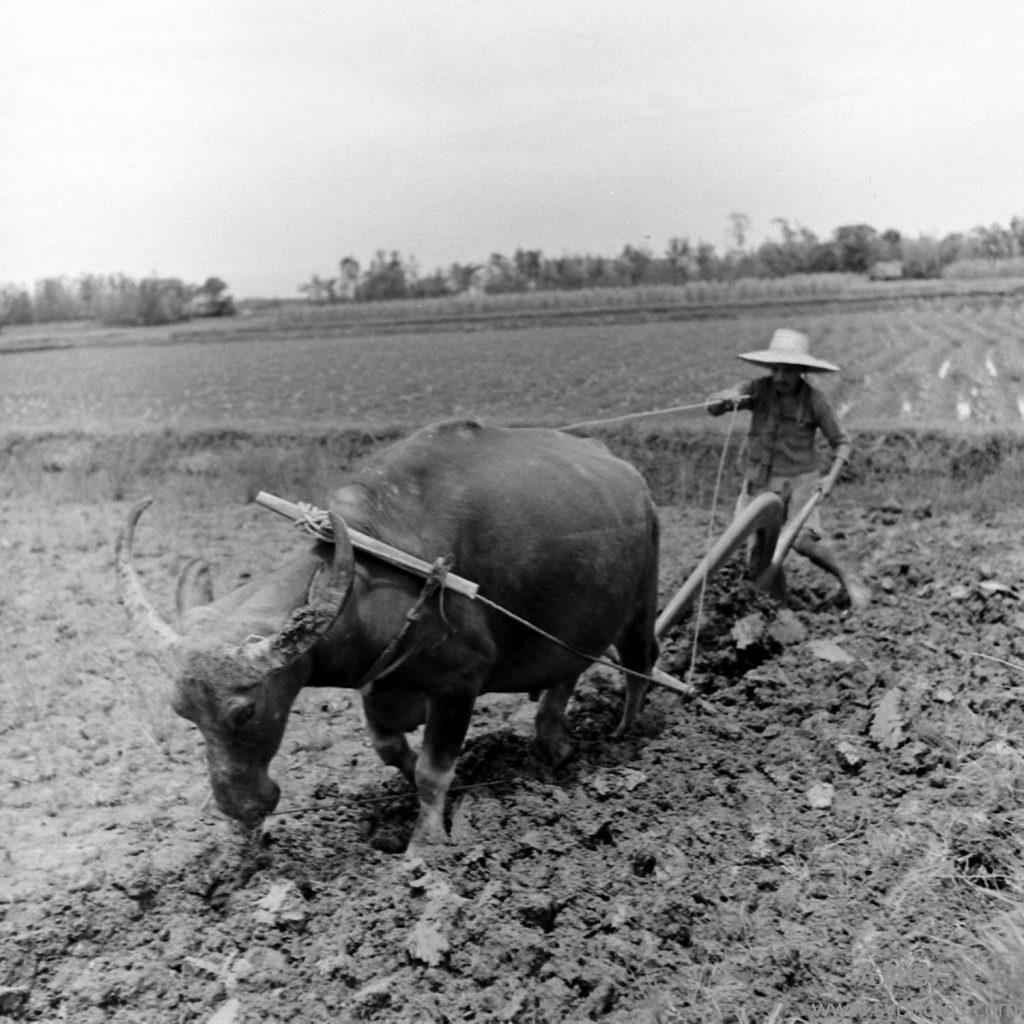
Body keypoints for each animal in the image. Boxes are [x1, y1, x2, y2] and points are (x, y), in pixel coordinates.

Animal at [117, 417, 655, 847]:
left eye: (244, 712)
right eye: (182, 712)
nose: (239, 809)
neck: (382, 570)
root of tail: (630, 476)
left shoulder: (459, 687)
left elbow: (434, 772)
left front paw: (425, 844)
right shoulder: (377, 685)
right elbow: (391, 750)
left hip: (640, 608)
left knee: (639, 665)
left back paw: (625, 733)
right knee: (568, 672)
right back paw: (553, 740)